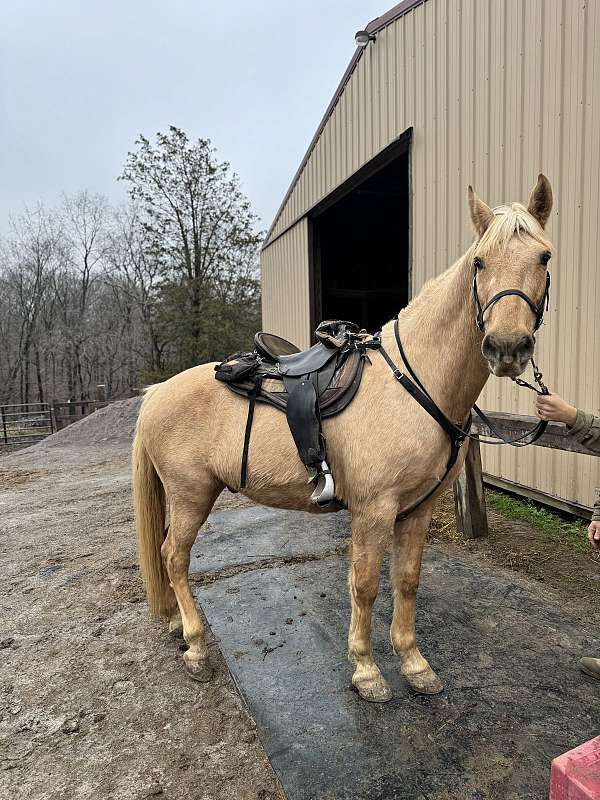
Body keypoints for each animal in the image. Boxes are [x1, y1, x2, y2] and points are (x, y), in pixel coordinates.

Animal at [134, 178, 556, 704]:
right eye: (479, 261)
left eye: (544, 257)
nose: (507, 348)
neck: (416, 381)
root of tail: (155, 393)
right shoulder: (374, 509)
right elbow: (366, 585)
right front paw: (367, 670)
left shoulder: (416, 510)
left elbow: (407, 581)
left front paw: (414, 663)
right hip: (191, 494)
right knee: (174, 557)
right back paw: (195, 646)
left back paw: (176, 624)